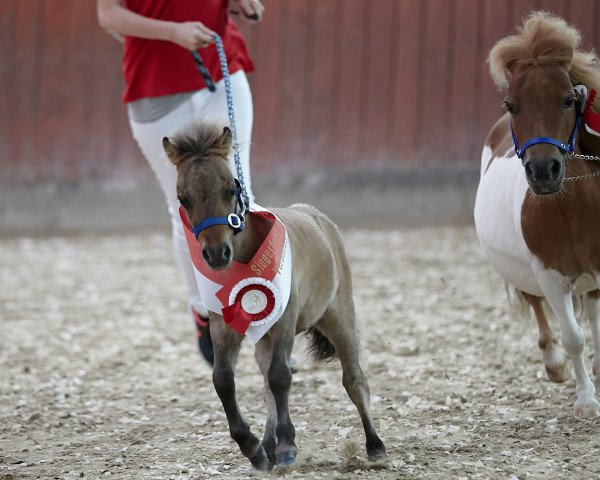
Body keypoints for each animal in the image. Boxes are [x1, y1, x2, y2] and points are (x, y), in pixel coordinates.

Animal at [476, 11, 600, 416]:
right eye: (511, 105)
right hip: (523, 272)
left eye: (567, 100)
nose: (544, 171)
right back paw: (554, 362)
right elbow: (574, 337)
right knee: (536, 305)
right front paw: (586, 401)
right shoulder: (549, 275)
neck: (573, 208)